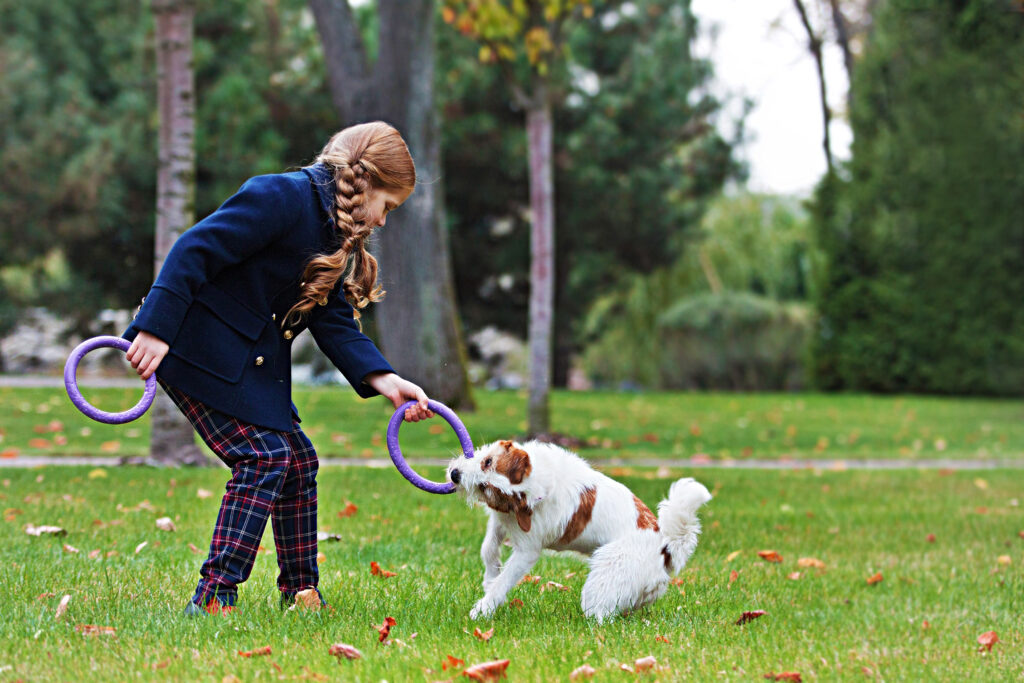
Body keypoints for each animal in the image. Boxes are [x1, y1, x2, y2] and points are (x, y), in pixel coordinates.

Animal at [448, 440, 712, 622]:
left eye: (487, 467)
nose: (454, 475)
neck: (540, 483)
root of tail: (665, 549)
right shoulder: (502, 520)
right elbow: (488, 548)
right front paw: (489, 576)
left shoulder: (526, 551)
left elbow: (504, 581)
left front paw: (483, 608)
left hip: (601, 585)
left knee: (601, 616)